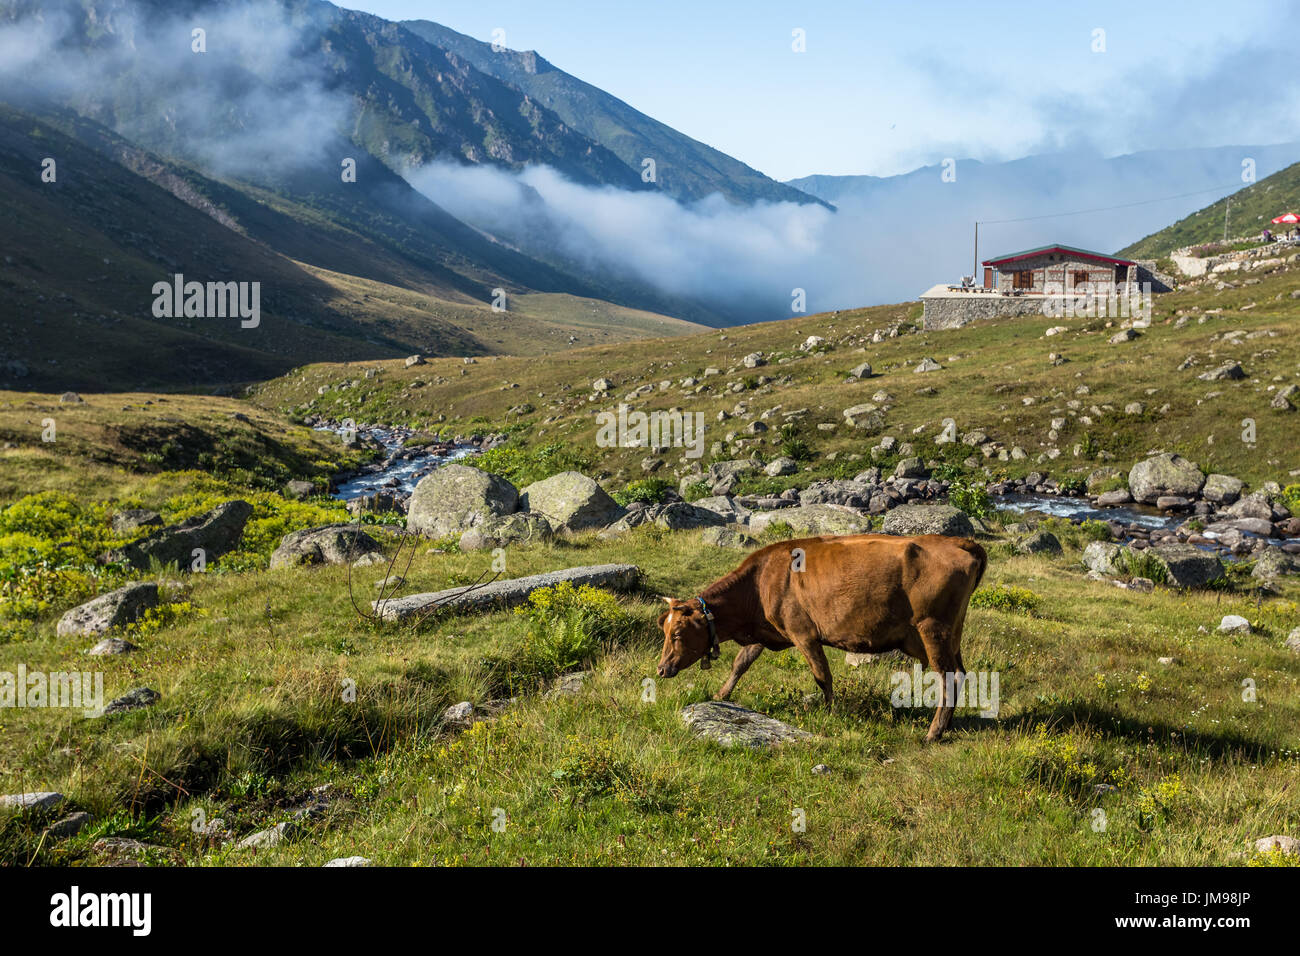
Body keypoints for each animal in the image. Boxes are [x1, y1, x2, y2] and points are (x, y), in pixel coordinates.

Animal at [656, 533, 987, 742]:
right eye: (665, 629)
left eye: (677, 633)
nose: (660, 669)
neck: (759, 582)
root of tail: (958, 541)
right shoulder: (767, 631)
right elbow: (741, 663)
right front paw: (721, 695)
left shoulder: (803, 633)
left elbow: (822, 675)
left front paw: (830, 712)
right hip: (951, 636)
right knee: (960, 674)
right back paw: (946, 726)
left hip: (933, 630)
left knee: (947, 677)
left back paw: (933, 732)